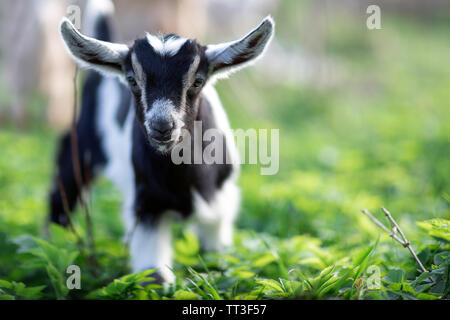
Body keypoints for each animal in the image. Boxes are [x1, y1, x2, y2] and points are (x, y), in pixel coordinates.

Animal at [49, 0, 274, 282]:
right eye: (132, 80)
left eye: (197, 81)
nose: (162, 126)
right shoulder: (146, 205)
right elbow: (152, 273)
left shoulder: (221, 200)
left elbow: (215, 252)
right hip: (80, 145)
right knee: (63, 188)